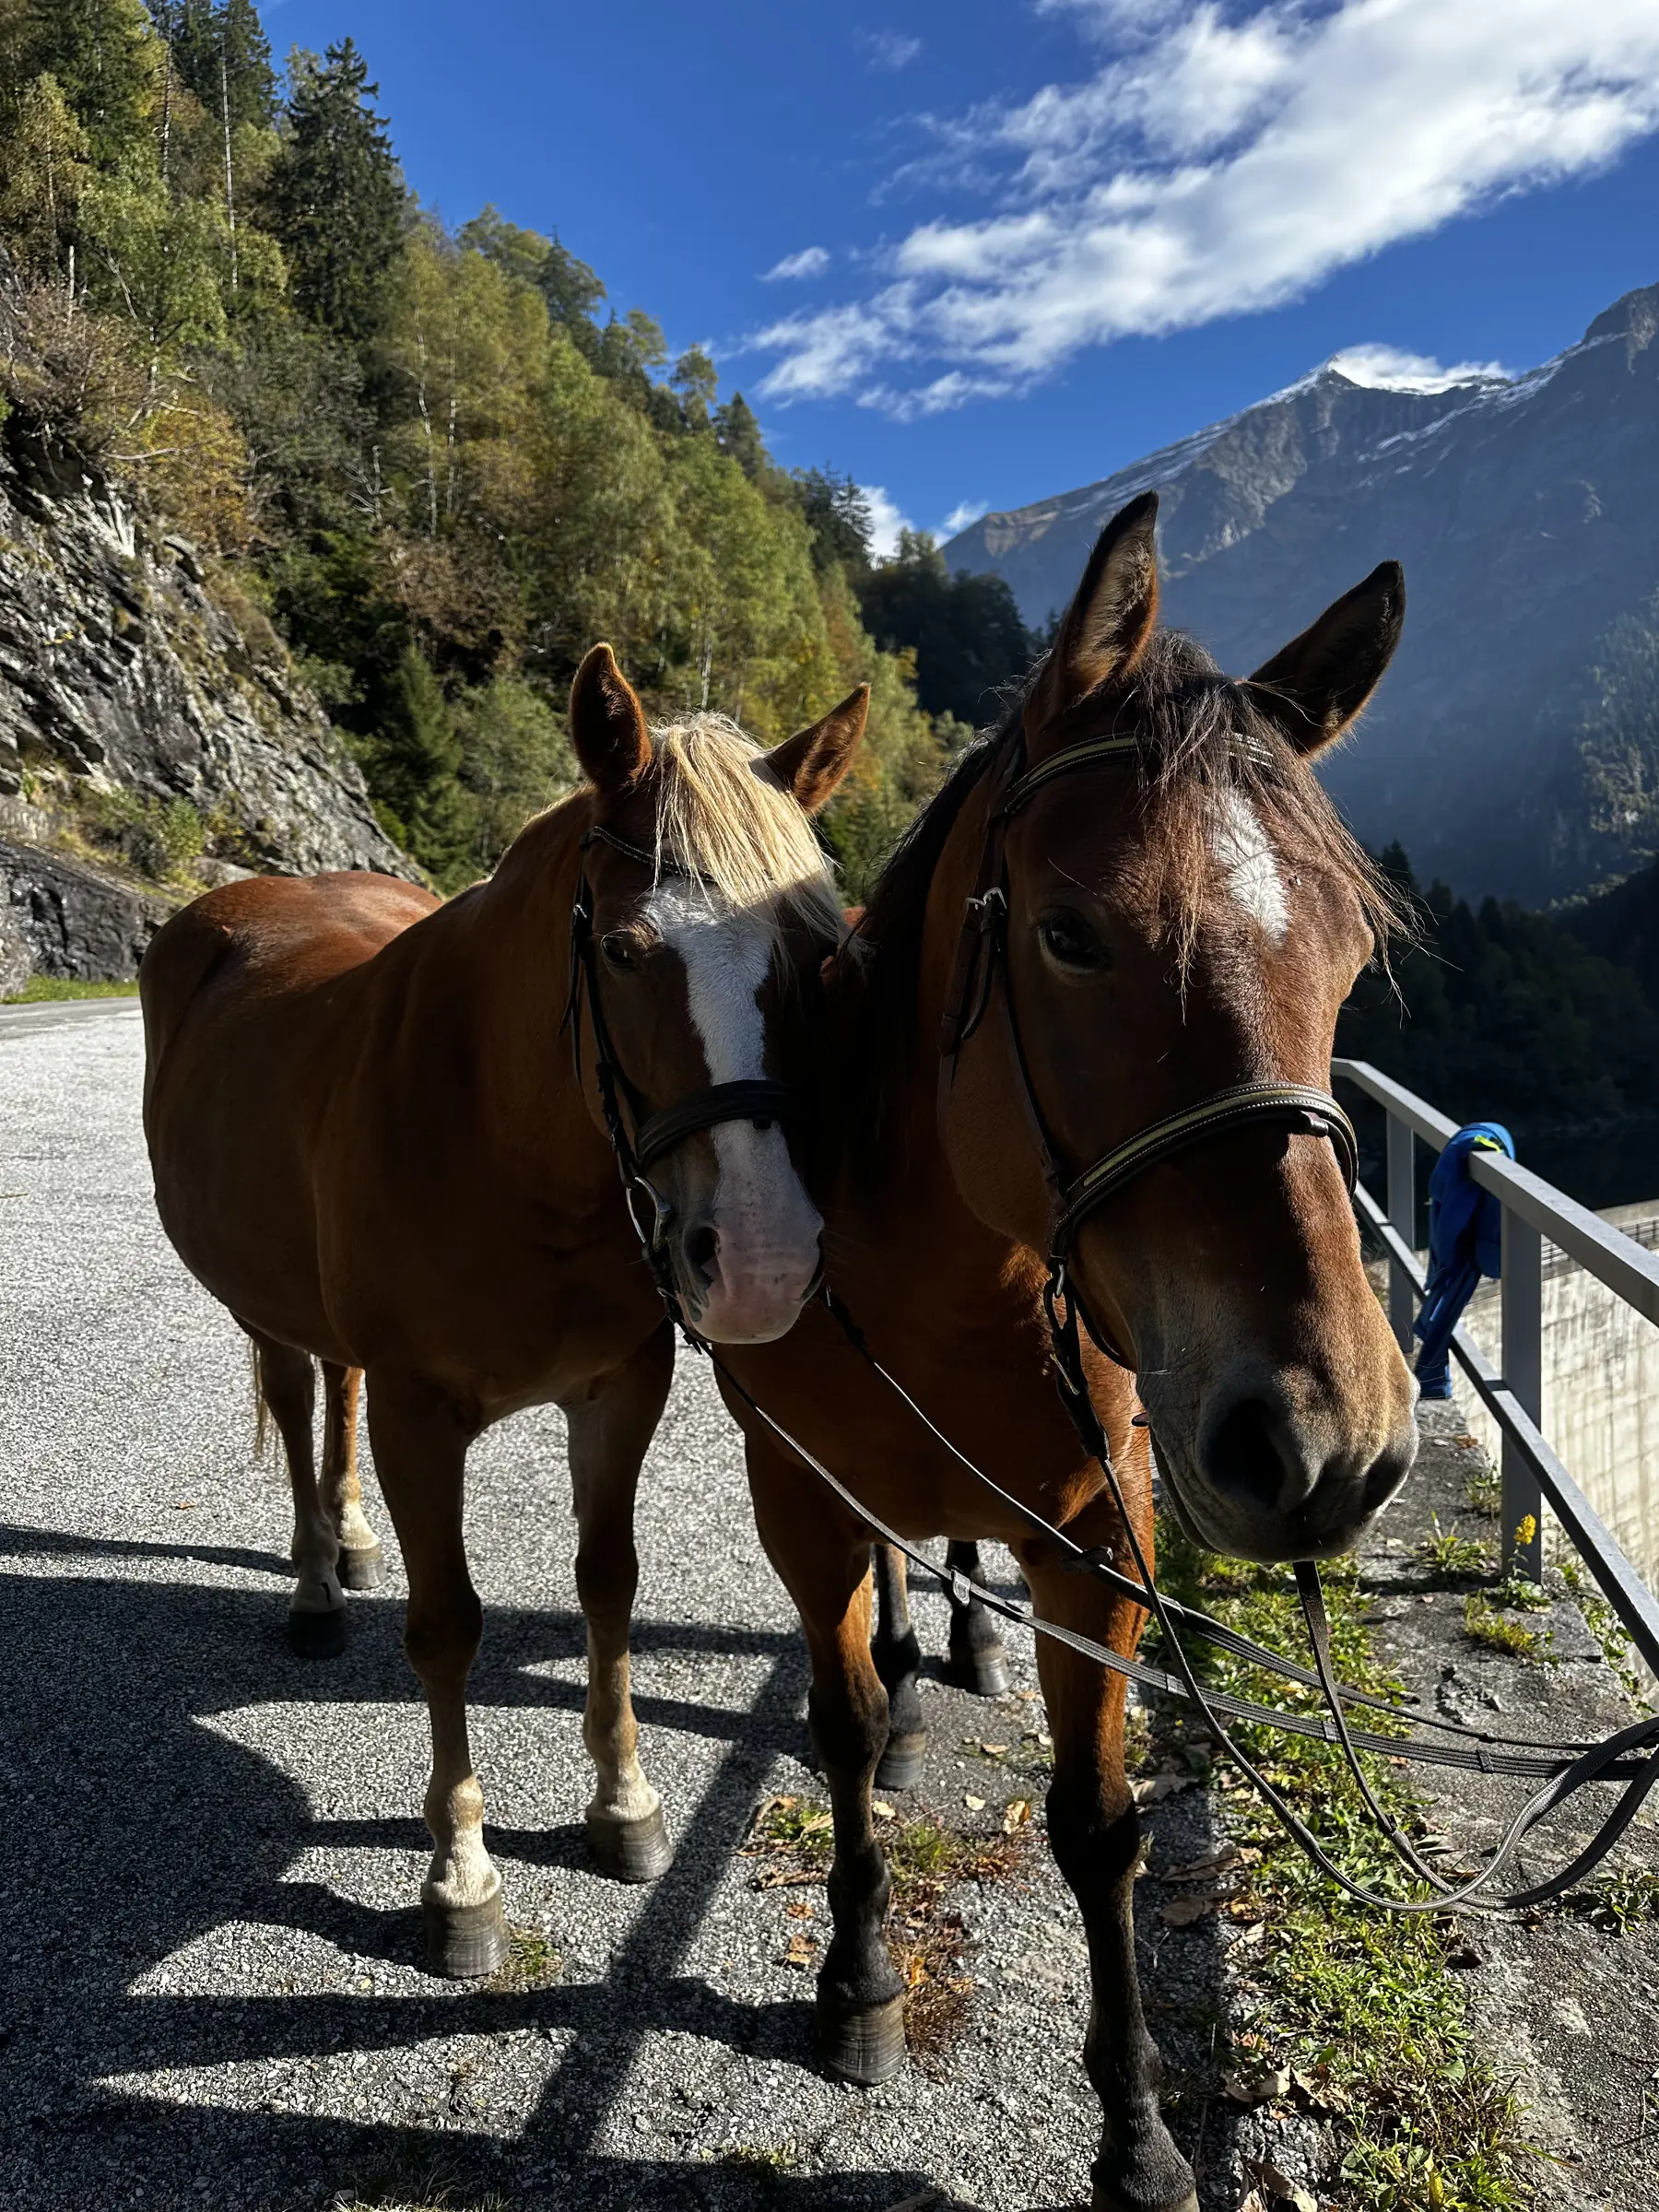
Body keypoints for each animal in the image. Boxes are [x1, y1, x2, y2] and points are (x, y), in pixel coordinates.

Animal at [139, 643, 868, 1976]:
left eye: (818, 952)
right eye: (625, 951)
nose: (763, 1262)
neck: (505, 1140)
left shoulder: (619, 1389)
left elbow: (606, 1582)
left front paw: (624, 1807)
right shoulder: (424, 1418)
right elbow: (448, 1628)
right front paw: (461, 1876)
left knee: (334, 1390)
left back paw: (349, 1535)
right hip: (262, 1304)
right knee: (297, 1392)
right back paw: (316, 1582)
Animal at [713, 493, 1419, 2212]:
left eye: (1348, 956)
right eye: (1069, 934)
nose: (1333, 1440)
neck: (944, 1274)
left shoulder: (1105, 1527)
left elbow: (1100, 1825)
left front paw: (1139, 2134)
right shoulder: (799, 1491)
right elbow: (837, 1723)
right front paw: (859, 1980)